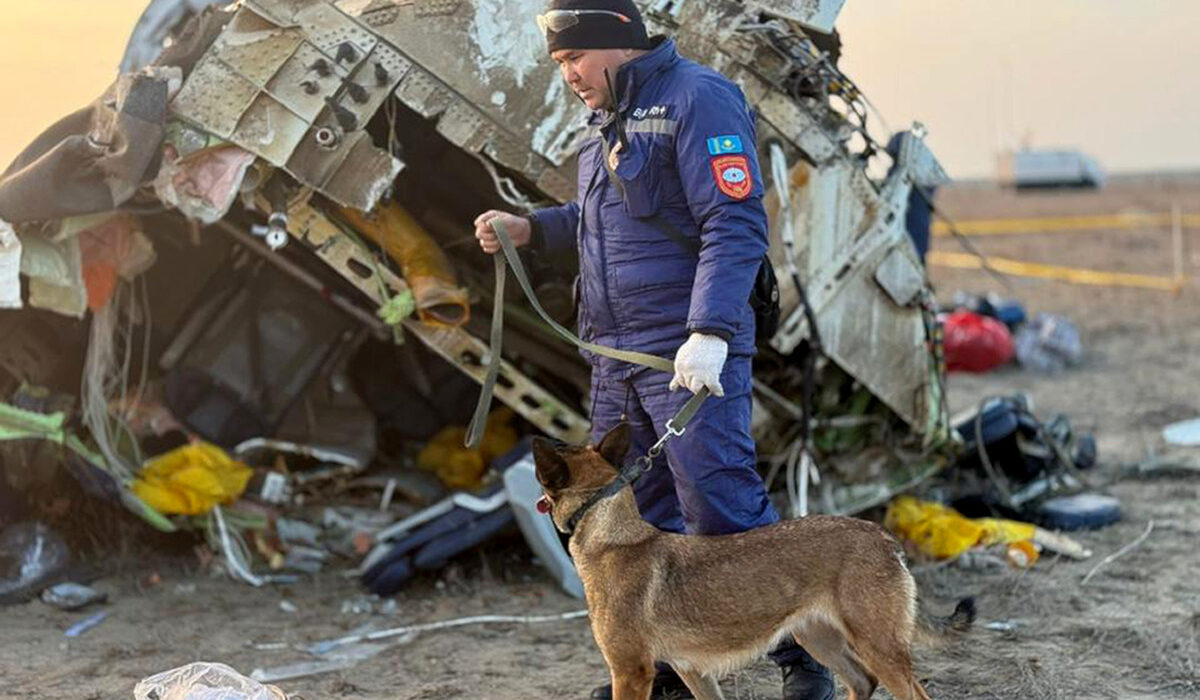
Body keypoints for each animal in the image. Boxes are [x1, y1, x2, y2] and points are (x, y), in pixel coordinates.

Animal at [535, 422, 974, 700]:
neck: (610, 532)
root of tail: (883, 537)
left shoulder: (630, 672)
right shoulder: (692, 670)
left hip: (876, 646)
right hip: (819, 638)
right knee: (863, 682)